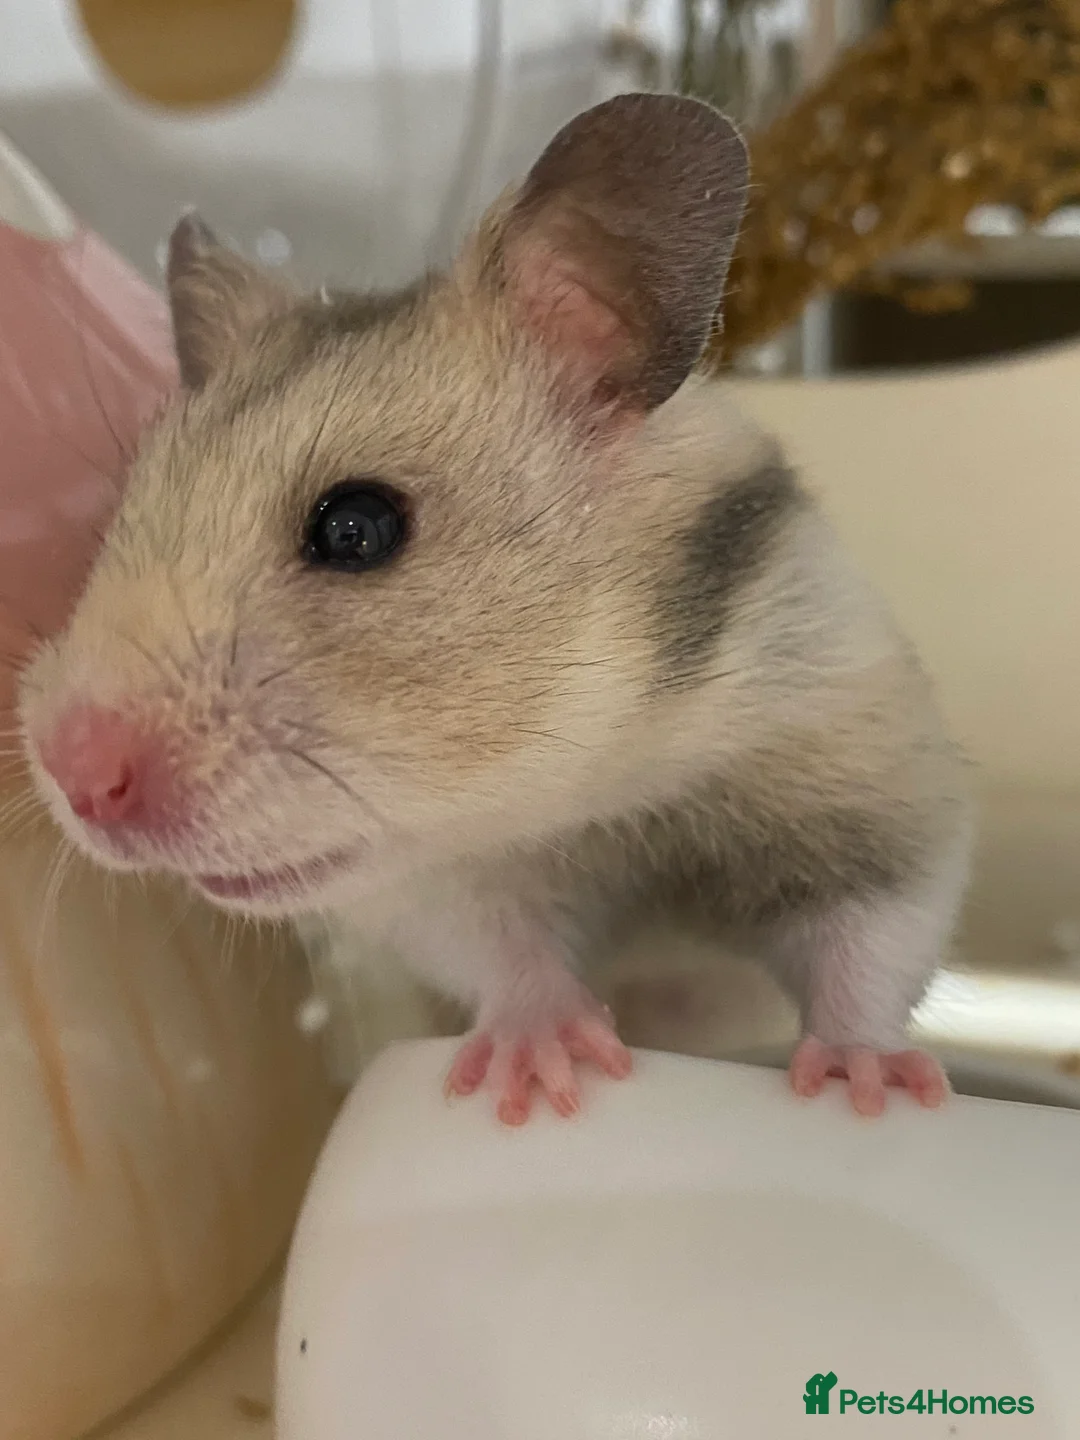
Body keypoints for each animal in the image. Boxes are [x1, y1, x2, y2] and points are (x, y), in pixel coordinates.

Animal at [19, 93, 971, 1125]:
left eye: (356, 528)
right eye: (122, 516)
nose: (74, 777)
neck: (595, 768)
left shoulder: (867, 778)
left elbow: (865, 942)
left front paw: (870, 1088)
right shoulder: (431, 887)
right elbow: (505, 954)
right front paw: (544, 1076)